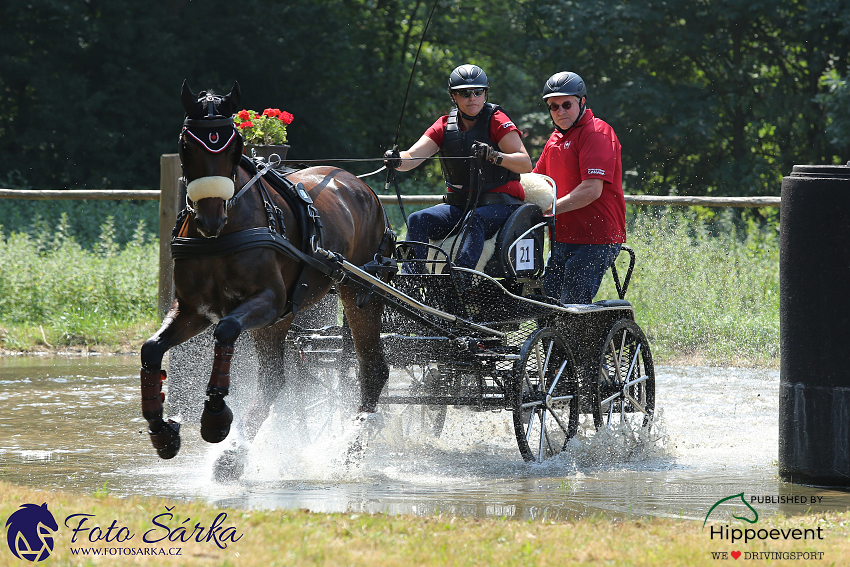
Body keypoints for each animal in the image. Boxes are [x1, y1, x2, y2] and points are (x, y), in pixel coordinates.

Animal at [139, 83, 390, 462]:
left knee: (372, 368)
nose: (210, 219)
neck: (223, 235)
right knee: (274, 382)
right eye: (187, 144)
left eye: (234, 145)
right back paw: (232, 460)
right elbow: (152, 349)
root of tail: (361, 186)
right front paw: (162, 430)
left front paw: (215, 417)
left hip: (359, 294)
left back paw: (352, 447)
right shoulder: (193, 309)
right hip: (282, 318)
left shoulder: (267, 301)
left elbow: (226, 331)